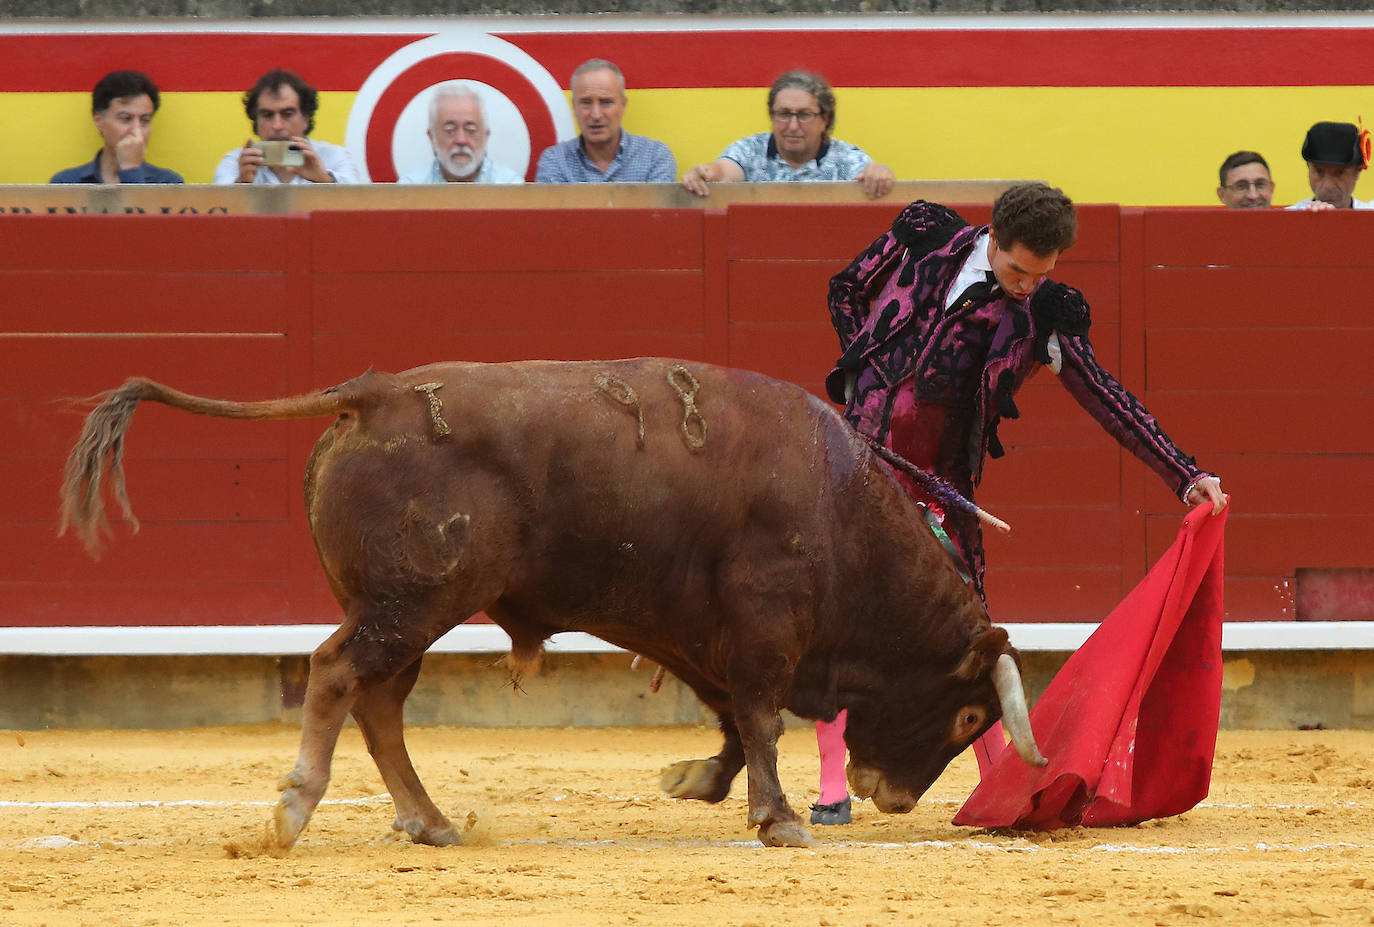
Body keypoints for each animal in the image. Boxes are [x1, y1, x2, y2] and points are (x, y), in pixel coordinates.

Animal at [53, 359, 1038, 851]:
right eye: (966, 715)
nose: (893, 798)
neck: (839, 501)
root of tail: (372, 394)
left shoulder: (694, 627)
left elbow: (729, 714)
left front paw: (698, 781)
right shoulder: (766, 621)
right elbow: (761, 714)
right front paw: (782, 818)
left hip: (404, 607)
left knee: (379, 701)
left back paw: (430, 821)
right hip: (415, 600)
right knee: (337, 674)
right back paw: (293, 814)